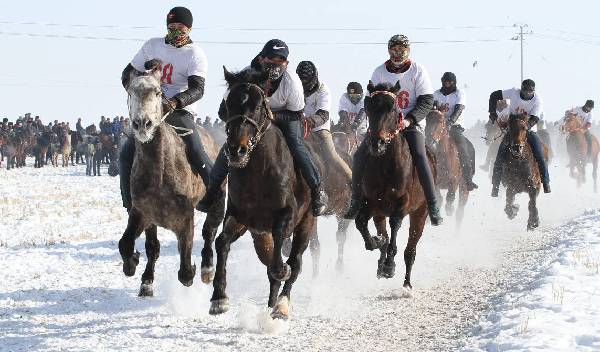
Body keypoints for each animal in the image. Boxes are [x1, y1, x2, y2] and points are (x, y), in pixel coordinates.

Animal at [116, 61, 223, 296]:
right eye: (131, 92)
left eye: (158, 92)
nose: (143, 124)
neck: (160, 172)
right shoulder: (142, 212)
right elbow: (130, 244)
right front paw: (137, 270)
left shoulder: (185, 218)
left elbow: (185, 270)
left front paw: (194, 270)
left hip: (215, 202)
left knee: (209, 232)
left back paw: (207, 268)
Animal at [210, 68, 324, 320]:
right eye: (228, 104)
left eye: (257, 106)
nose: (236, 150)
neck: (258, 173)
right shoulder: (240, 217)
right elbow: (221, 242)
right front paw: (219, 299)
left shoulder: (288, 214)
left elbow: (282, 258)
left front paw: (283, 270)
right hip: (258, 233)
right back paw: (272, 301)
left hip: (307, 223)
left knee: (296, 262)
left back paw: (281, 305)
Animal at [354, 81, 434, 290]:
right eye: (368, 107)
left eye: (393, 108)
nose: (377, 143)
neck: (386, 165)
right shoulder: (372, 203)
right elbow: (361, 223)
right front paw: (377, 242)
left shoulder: (402, 204)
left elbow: (395, 225)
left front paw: (390, 266)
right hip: (380, 213)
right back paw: (381, 261)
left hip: (420, 213)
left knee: (410, 250)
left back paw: (406, 284)